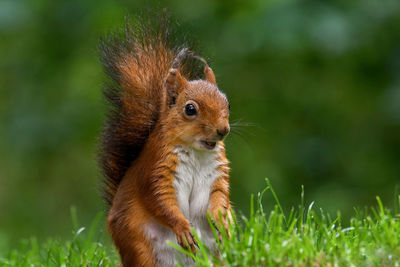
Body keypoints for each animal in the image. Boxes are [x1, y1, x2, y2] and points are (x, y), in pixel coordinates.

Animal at [98, 16, 233, 267]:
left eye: (227, 103)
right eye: (190, 109)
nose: (223, 130)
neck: (197, 152)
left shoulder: (218, 174)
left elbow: (220, 195)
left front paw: (221, 219)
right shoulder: (155, 171)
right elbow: (160, 201)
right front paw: (183, 228)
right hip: (138, 246)